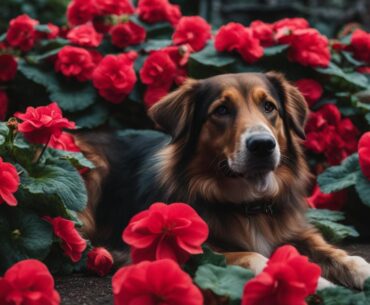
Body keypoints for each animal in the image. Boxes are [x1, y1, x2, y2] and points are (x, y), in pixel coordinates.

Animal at [76, 72, 370, 290]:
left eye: (269, 107)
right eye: (222, 110)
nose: (263, 145)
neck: (250, 206)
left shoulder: (295, 231)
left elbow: (343, 255)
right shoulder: (181, 250)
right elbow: (254, 256)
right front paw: (318, 283)